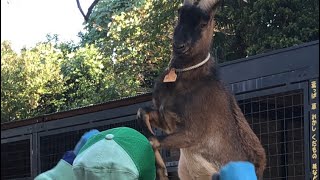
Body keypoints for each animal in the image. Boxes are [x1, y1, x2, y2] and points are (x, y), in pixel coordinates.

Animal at [137, 1, 264, 180]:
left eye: (204, 22)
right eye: (180, 14)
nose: (179, 45)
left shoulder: (192, 132)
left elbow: (152, 140)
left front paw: (161, 172)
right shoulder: (166, 120)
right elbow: (142, 114)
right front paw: (161, 170)